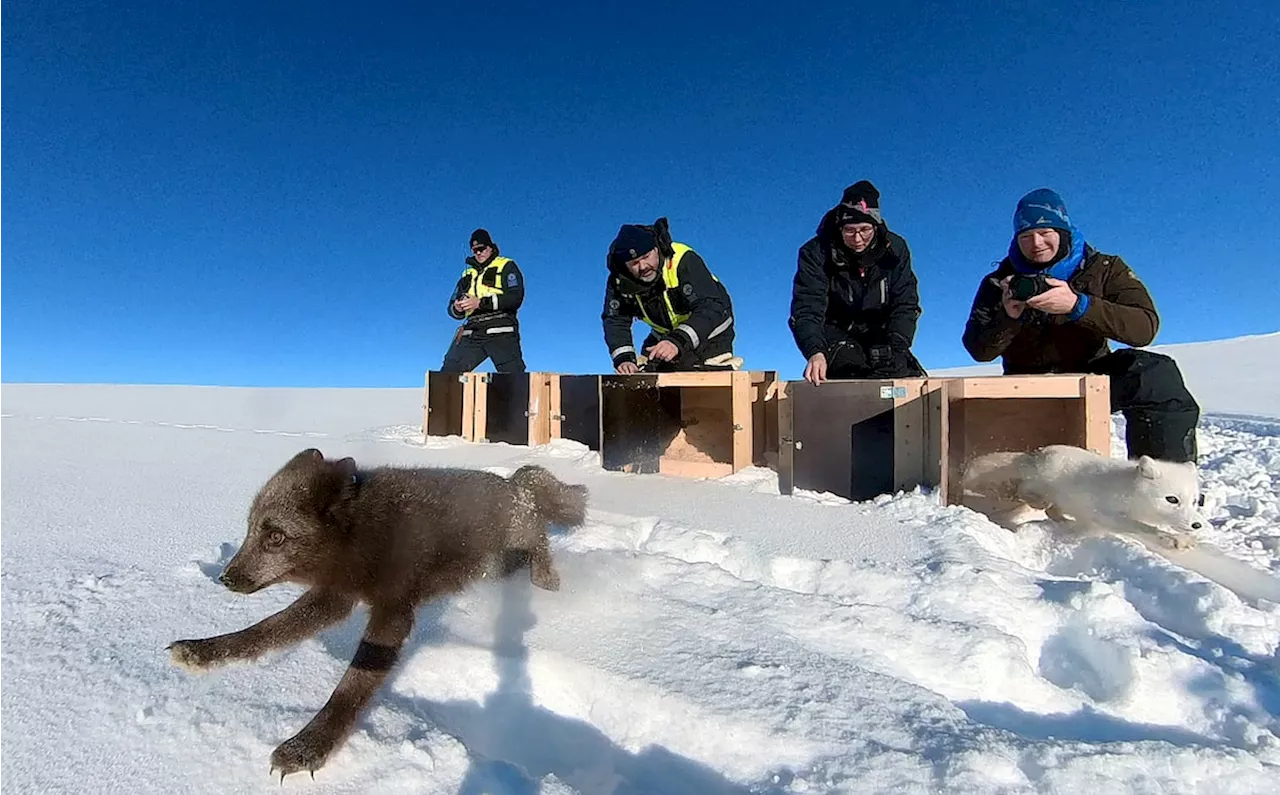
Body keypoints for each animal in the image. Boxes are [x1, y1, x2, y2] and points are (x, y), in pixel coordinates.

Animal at [166, 450, 588, 778]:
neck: (359, 534)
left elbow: (353, 683)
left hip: (509, 551)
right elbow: (266, 629)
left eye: (276, 537)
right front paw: (203, 651)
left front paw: (308, 746)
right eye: (251, 529)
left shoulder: (393, 611)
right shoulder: (333, 598)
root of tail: (516, 485)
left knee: (541, 548)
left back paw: (546, 581)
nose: (225, 578)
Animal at [962, 442, 1203, 547]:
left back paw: (1066, 522)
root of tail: (1035, 454)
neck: (1128, 492)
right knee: (1026, 493)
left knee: (1052, 512)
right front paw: (1170, 539)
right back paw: (1041, 503)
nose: (1197, 525)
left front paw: (1181, 537)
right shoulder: (1108, 515)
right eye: (1172, 499)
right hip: (1040, 485)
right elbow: (1143, 528)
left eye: (1194, 501)